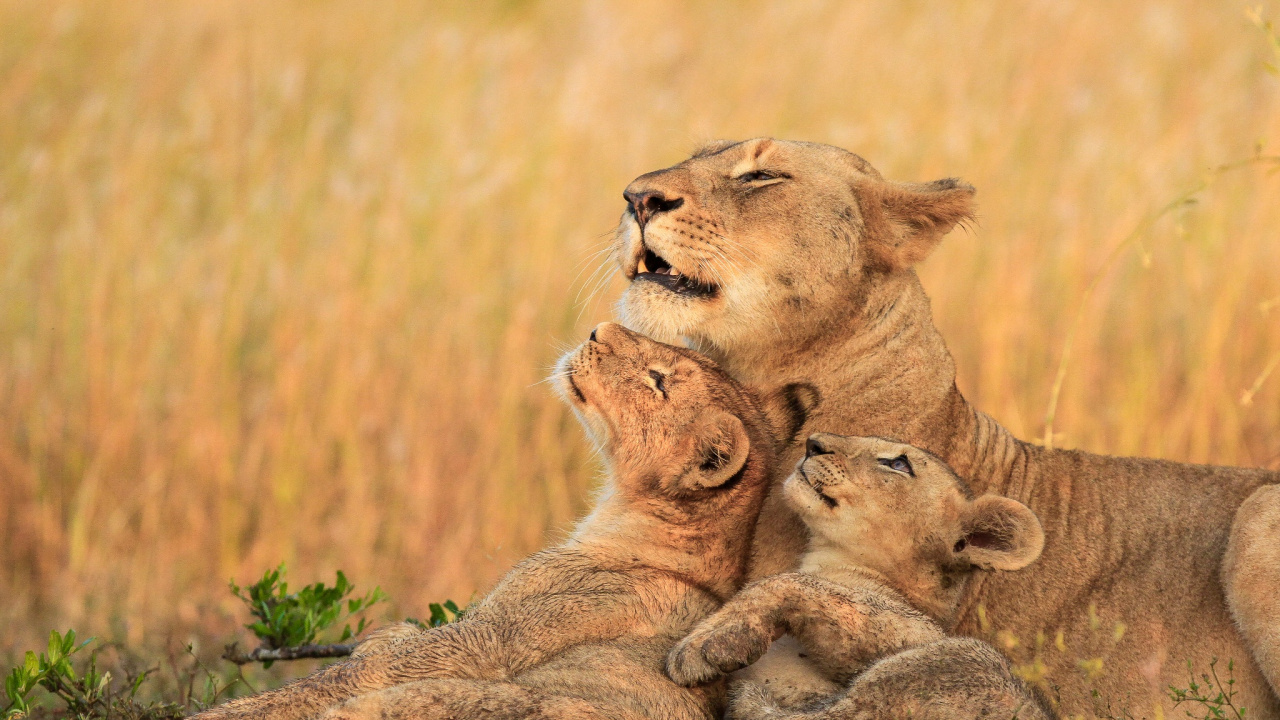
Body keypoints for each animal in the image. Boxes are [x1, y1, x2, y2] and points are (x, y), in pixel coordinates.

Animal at [665, 434, 1053, 720]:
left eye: (898, 464)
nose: (813, 444)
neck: (831, 559)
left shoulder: (915, 632)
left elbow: (786, 583)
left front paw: (705, 644)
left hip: (963, 661)